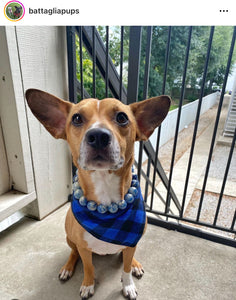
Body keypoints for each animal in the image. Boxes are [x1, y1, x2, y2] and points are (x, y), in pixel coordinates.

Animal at [25, 89, 170, 300]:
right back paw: (67, 268)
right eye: (77, 118)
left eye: (122, 117)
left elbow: (126, 268)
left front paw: (128, 284)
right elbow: (88, 267)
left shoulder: (131, 243)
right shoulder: (84, 249)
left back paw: (135, 264)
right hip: (70, 239)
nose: (98, 135)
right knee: (73, 253)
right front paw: (88, 284)